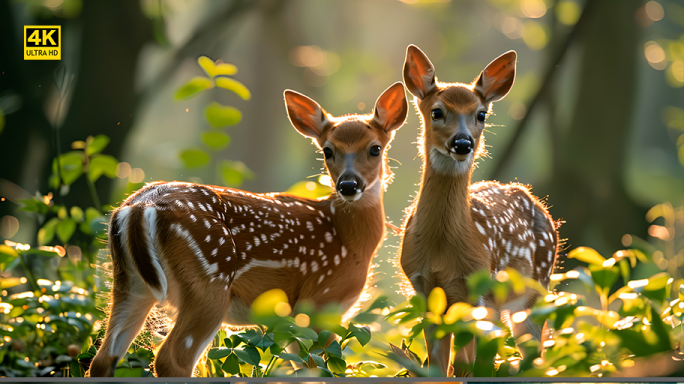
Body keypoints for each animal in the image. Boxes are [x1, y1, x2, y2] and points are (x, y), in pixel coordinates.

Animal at [85, 82, 406, 378]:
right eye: (328, 151)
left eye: (375, 148)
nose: (348, 185)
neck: (349, 240)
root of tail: (140, 207)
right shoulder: (319, 300)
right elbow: (320, 367)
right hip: (209, 280)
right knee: (171, 359)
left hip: (129, 283)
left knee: (102, 358)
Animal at [398, 45, 560, 378]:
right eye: (436, 111)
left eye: (481, 114)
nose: (463, 142)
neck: (441, 250)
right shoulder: (423, 287)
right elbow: (439, 365)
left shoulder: (479, 288)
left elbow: (466, 365)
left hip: (534, 289)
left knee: (532, 355)